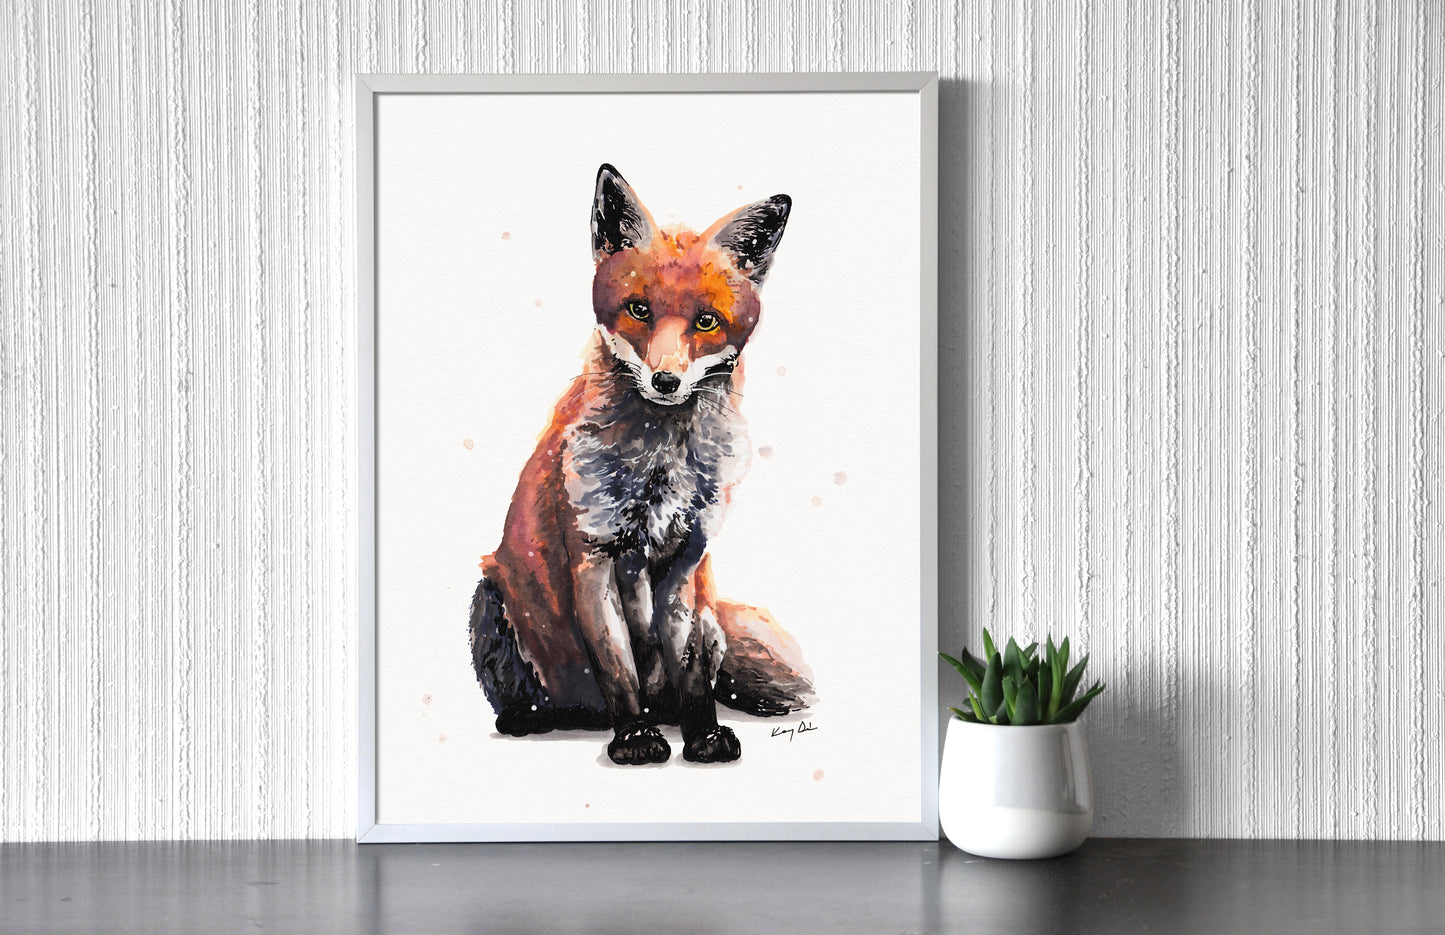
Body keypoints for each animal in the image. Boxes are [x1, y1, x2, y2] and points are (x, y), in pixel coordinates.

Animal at [468, 164, 814, 766]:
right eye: (638, 310)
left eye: (707, 321)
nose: (666, 380)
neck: (660, 467)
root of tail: (581, 715)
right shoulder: (594, 555)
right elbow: (619, 667)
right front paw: (634, 738)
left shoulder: (687, 563)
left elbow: (692, 672)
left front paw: (701, 735)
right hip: (489, 594)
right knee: (539, 697)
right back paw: (532, 717)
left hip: (713, 616)